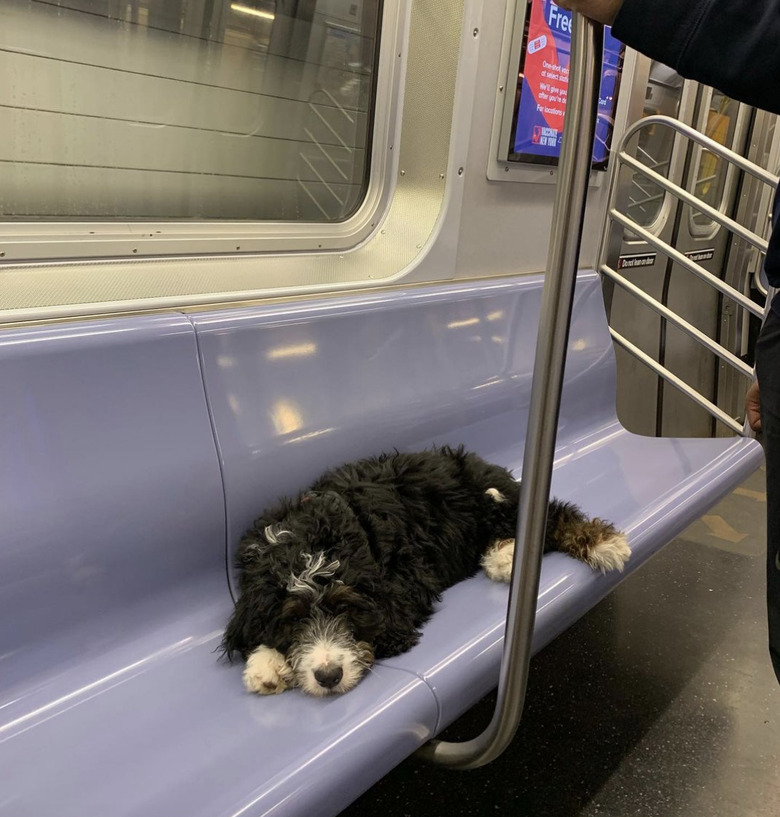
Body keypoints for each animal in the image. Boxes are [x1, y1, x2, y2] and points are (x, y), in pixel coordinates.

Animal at [219, 446, 628, 696]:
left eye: (346, 609)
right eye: (292, 620)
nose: (329, 676)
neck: (308, 537)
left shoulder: (409, 576)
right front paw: (266, 665)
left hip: (496, 501)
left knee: (551, 515)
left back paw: (600, 544)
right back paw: (505, 555)